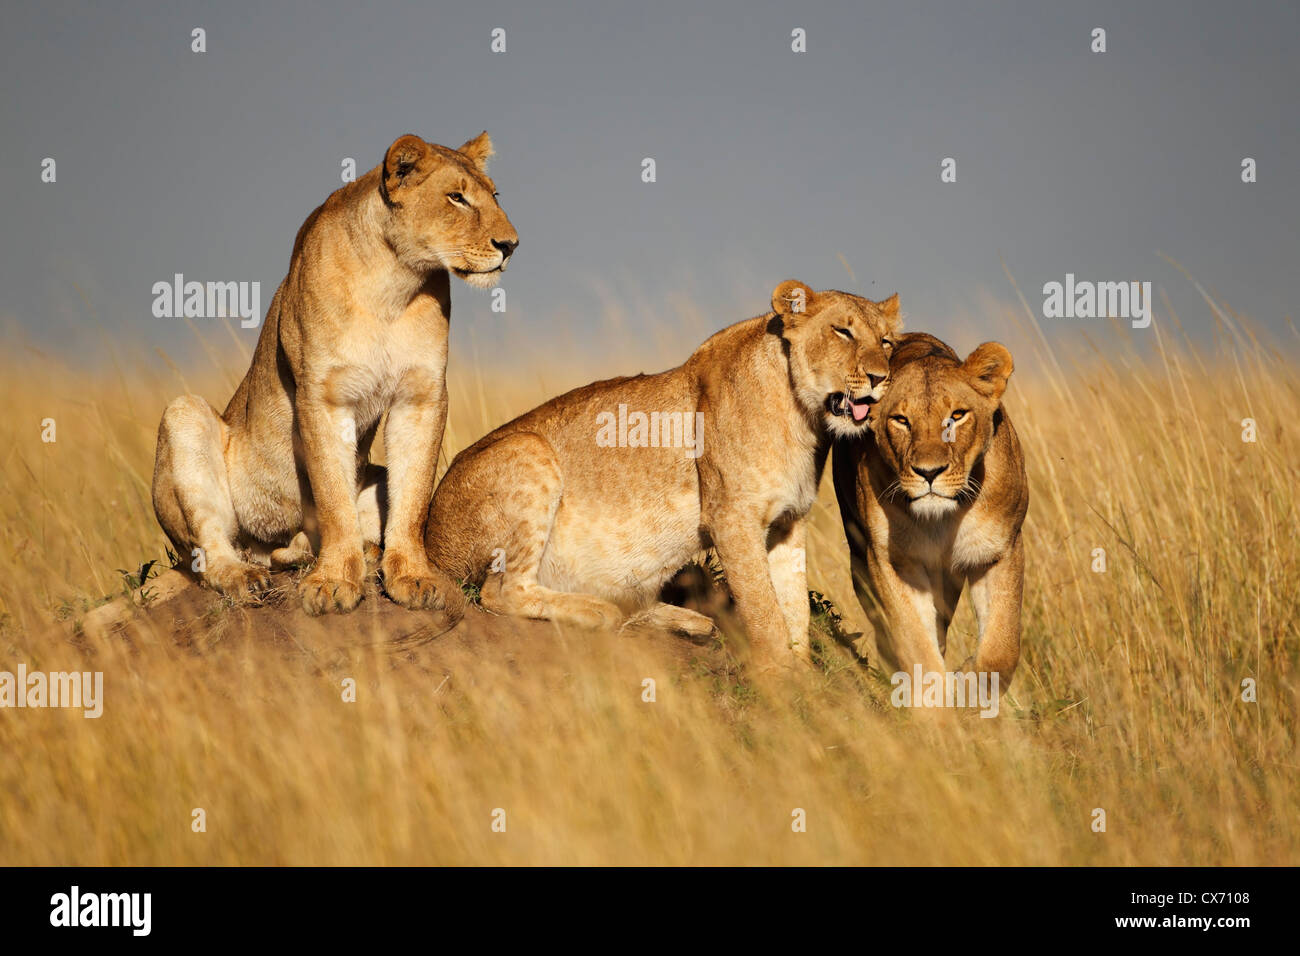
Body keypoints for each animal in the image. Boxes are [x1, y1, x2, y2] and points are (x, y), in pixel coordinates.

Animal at [151, 132, 518, 616]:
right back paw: (246, 577)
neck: (393, 282)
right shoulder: (322, 395)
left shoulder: (421, 395)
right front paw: (334, 582)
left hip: (372, 475)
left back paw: (338, 550)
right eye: (456, 197)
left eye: (494, 195)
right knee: (210, 551)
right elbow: (331, 494)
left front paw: (412, 577)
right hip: (185, 417)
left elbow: (414, 497)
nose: (511, 244)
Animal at [424, 281, 901, 668]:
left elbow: (794, 605)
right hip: (529, 449)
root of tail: (428, 539)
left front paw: (805, 676)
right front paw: (781, 678)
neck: (803, 416)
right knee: (500, 591)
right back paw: (599, 611)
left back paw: (687, 621)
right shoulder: (731, 518)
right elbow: (765, 611)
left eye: (887, 342)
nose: (881, 378)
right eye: (842, 331)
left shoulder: (789, 522)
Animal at [832, 332, 1028, 689]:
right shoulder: (893, 562)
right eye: (901, 420)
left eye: (957, 415)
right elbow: (916, 647)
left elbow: (1002, 648)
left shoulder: (1000, 550)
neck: (943, 518)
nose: (929, 472)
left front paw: (971, 685)